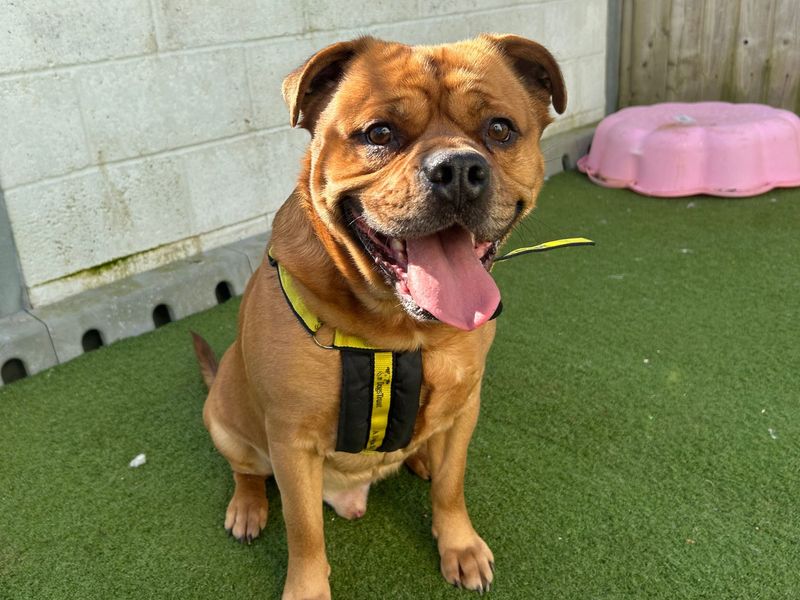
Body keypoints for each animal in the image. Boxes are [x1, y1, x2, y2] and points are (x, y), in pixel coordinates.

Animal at [195, 34, 564, 600]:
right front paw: (307, 588)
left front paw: (457, 544)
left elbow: (452, 486)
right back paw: (248, 506)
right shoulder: (291, 443)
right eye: (380, 133)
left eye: (499, 129)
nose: (459, 170)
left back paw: (419, 458)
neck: (396, 330)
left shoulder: (465, 409)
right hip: (225, 424)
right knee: (246, 471)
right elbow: (304, 532)